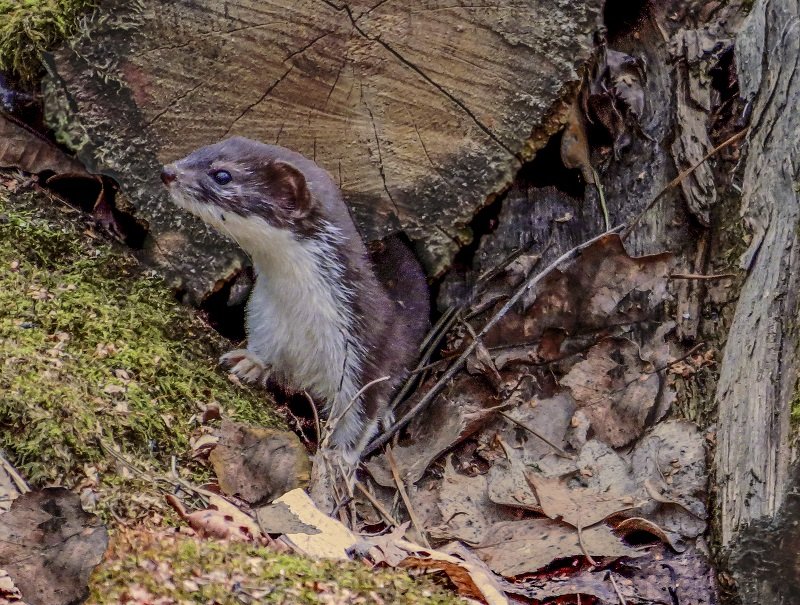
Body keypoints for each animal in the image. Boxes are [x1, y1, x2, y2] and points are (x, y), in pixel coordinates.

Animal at [162, 136, 432, 458]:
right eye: (201, 150)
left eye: (222, 175)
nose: (167, 171)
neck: (299, 315)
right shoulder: (262, 316)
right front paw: (250, 362)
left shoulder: (366, 352)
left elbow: (358, 417)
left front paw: (337, 462)